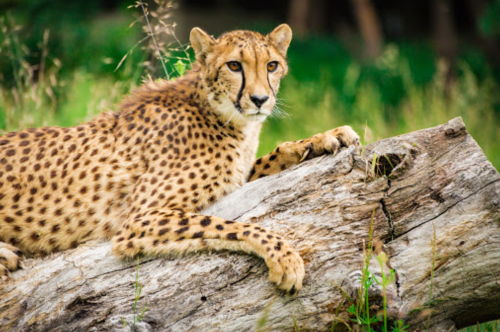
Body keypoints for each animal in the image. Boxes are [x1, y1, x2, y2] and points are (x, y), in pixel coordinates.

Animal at [0, 24, 360, 292]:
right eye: (234, 65)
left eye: (272, 65)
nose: (260, 99)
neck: (219, 113)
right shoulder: (139, 220)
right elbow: (230, 224)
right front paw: (285, 257)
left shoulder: (237, 175)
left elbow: (266, 161)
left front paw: (323, 138)